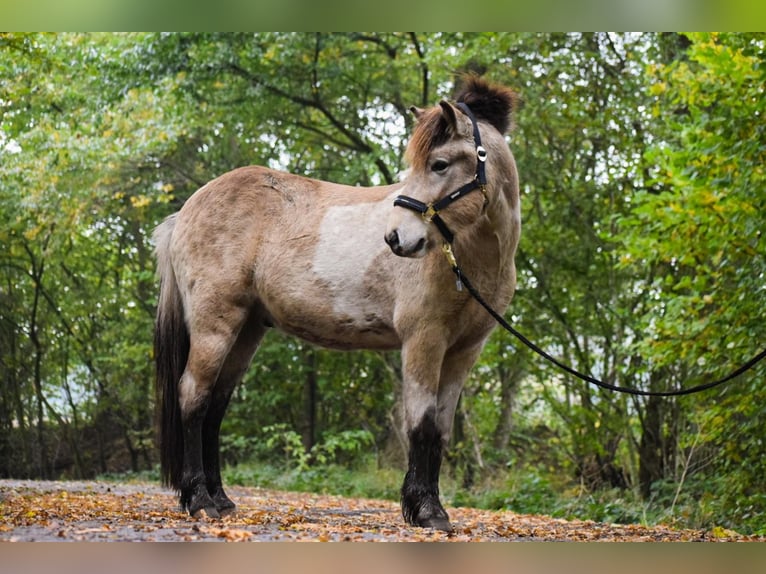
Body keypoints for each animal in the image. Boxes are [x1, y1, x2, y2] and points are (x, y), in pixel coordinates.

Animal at [152, 75, 520, 532]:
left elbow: (440, 428)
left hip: (247, 330)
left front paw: (431, 508)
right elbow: (420, 425)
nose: (396, 238)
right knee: (194, 398)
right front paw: (425, 510)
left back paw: (221, 500)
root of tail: (185, 211)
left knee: (216, 406)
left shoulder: (465, 350)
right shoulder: (424, 340)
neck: (467, 256)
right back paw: (200, 500)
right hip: (214, 325)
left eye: (439, 164)